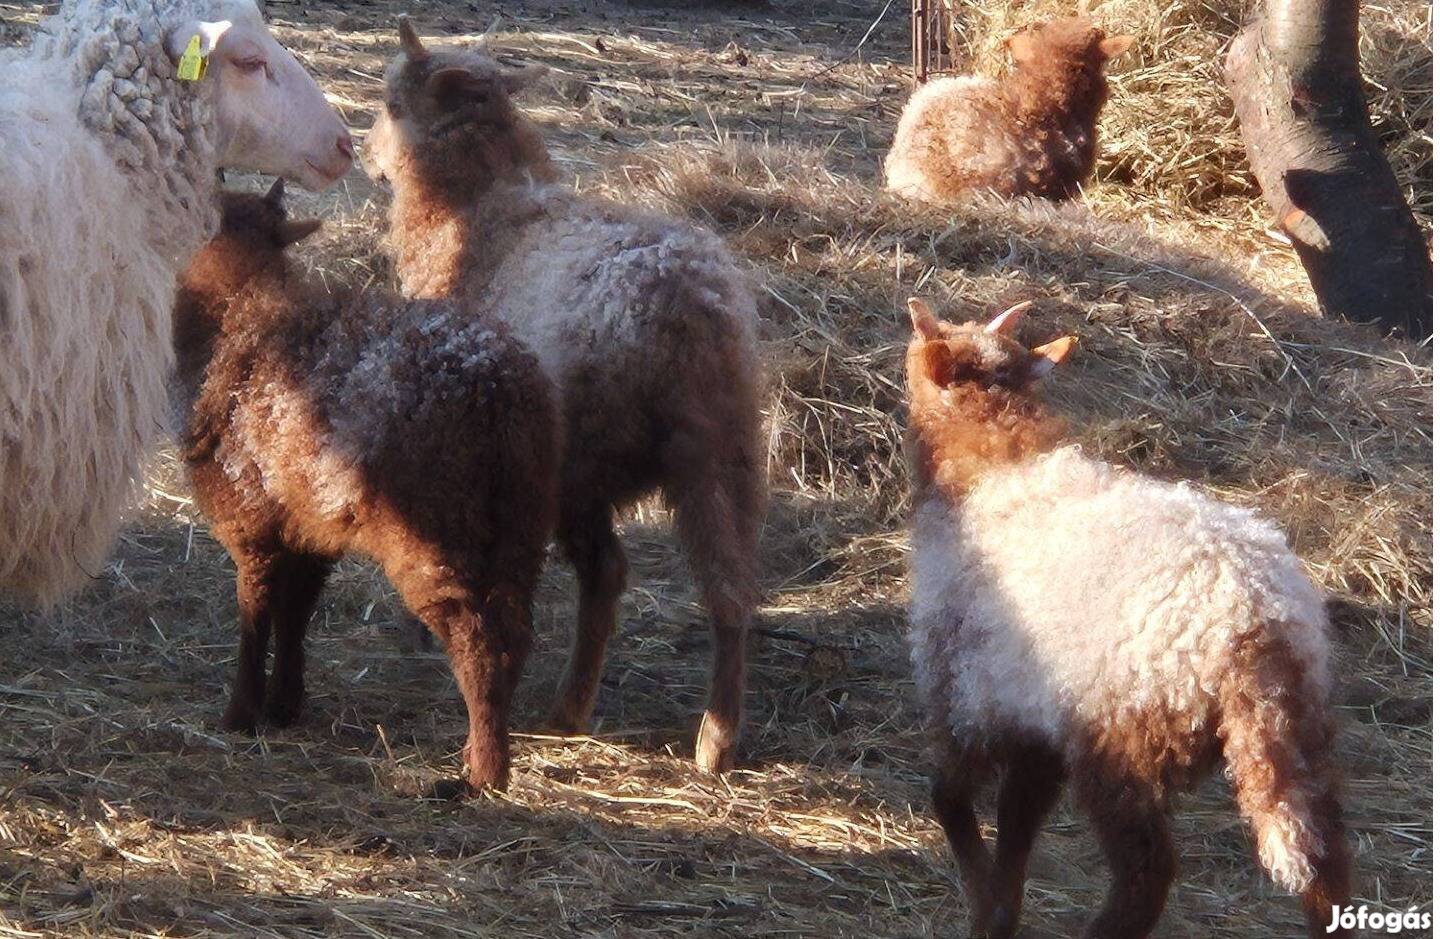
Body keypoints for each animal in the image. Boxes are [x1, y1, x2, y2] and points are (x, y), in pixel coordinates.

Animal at [173, 182, 559, 791]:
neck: (237, 313)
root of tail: (496, 390)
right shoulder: (309, 531)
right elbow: (295, 614)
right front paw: (284, 705)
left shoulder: (252, 524)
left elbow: (255, 615)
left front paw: (239, 715)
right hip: (521, 517)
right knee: (514, 633)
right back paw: (486, 748)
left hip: (434, 529)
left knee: (477, 638)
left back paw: (484, 771)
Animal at [361, 20, 765, 775]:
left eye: (392, 105)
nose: (364, 157)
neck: (481, 208)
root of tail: (689, 313)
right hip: (727, 457)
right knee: (729, 587)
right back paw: (715, 736)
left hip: (581, 458)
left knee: (607, 573)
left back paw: (576, 708)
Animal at [903, 296, 1352, 939]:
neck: (993, 466)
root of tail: (1258, 628)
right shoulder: (1036, 715)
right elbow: (1017, 821)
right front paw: (1000, 911)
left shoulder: (966, 690)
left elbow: (952, 799)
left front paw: (983, 905)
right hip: (1300, 732)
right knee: (1323, 859)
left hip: (1121, 736)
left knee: (1147, 869)